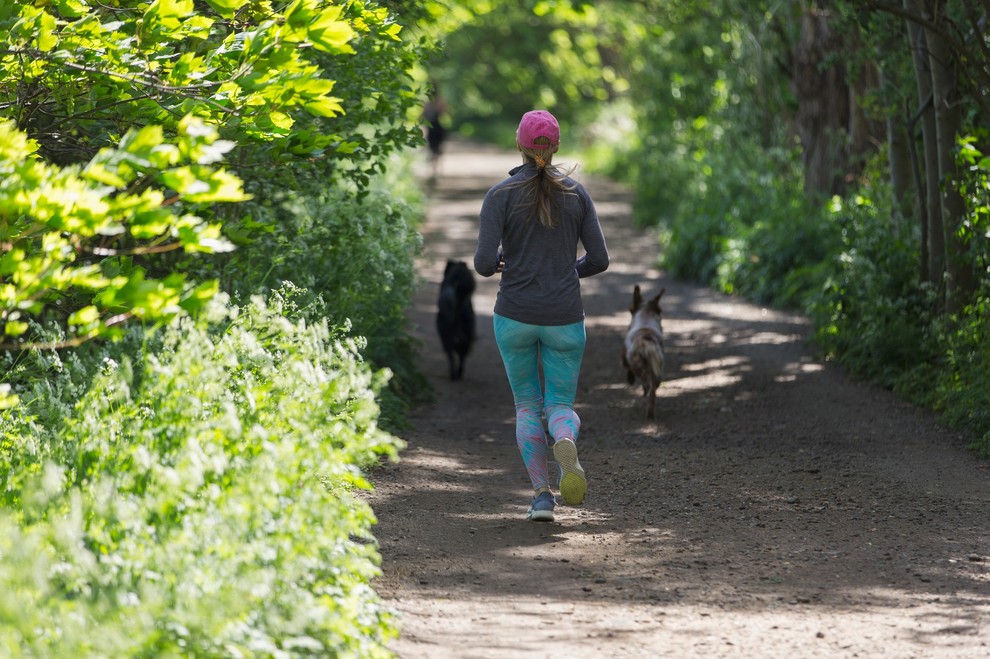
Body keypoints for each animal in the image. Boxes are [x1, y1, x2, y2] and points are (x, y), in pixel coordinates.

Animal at [624, 286, 672, 420]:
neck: (646, 316)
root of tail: (647, 345)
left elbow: (626, 367)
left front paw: (630, 379)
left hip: (637, 364)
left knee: (645, 381)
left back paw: (645, 390)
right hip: (658, 373)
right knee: (653, 392)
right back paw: (650, 412)